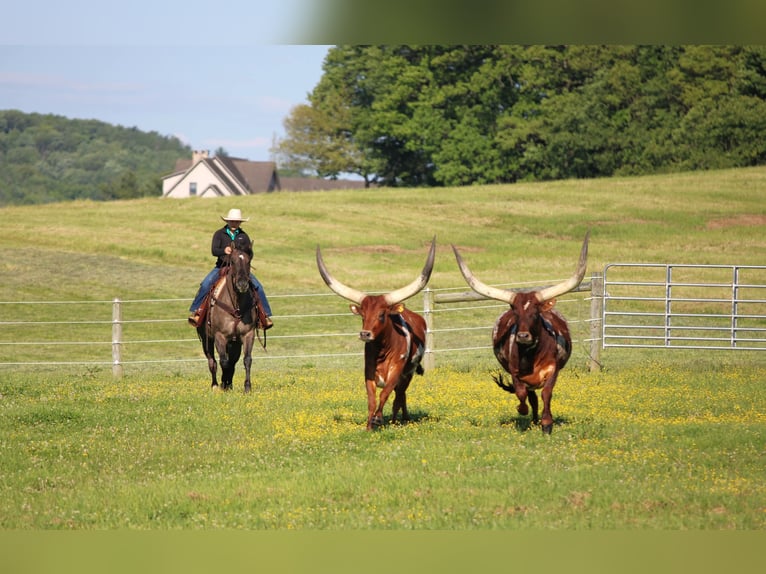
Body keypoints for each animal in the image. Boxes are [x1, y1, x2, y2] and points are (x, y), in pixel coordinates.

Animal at [195, 239, 265, 392]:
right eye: (232, 261)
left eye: (249, 261)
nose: (242, 284)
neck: (236, 306)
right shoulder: (219, 336)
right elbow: (223, 362)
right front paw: (223, 385)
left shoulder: (247, 335)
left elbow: (246, 360)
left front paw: (247, 387)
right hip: (206, 340)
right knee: (212, 361)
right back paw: (215, 385)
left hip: (234, 343)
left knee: (232, 361)